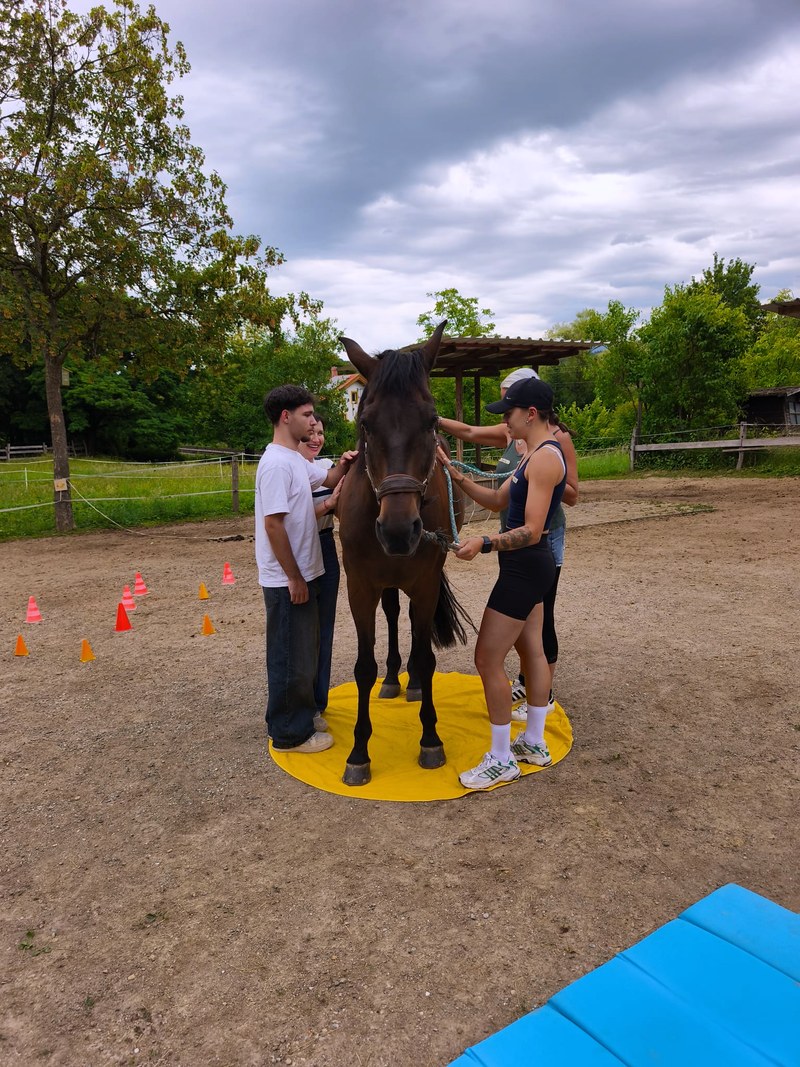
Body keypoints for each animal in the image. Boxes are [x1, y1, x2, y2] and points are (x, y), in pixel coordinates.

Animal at [336, 321, 472, 787]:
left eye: (431, 420)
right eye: (366, 423)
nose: (398, 531)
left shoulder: (427, 582)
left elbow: (428, 658)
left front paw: (430, 739)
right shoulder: (359, 587)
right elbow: (363, 667)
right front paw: (358, 753)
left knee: (412, 623)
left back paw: (409, 681)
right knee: (395, 615)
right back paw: (395, 677)